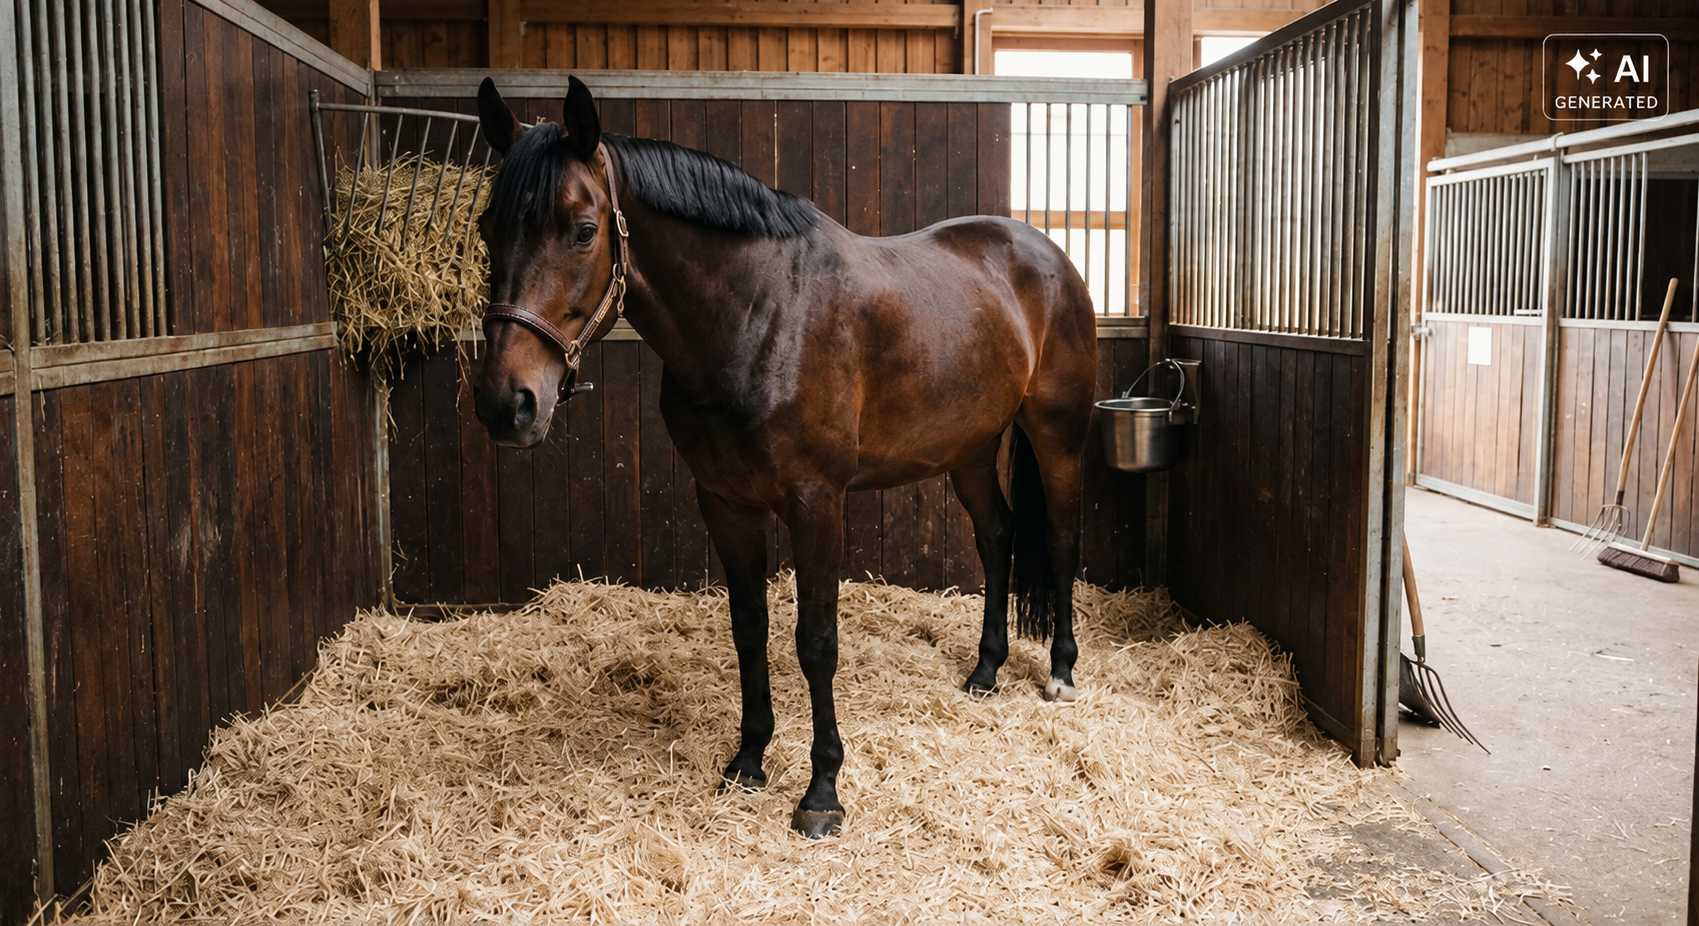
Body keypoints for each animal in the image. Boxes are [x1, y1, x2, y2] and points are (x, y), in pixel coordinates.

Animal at [471, 76, 1097, 838]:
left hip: (1056, 432)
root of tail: (1045, 255)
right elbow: (749, 630)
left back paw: (1060, 673)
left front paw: (822, 791)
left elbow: (816, 639)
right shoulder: (724, 501)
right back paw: (984, 672)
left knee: (1060, 537)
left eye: (582, 229)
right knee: (998, 535)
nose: (507, 403)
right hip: (969, 447)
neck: (759, 315)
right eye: (487, 227)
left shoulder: (815, 501)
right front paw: (747, 760)